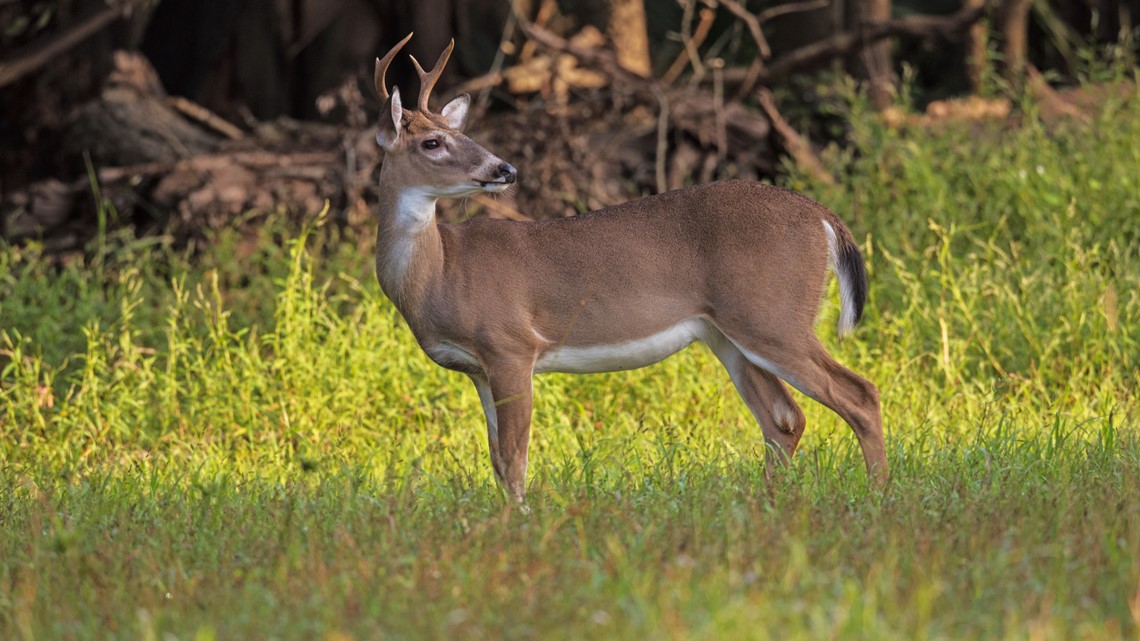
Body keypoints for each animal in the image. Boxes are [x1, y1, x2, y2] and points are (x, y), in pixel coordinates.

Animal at [369, 34, 884, 501]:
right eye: (433, 141)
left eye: (465, 136)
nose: (504, 170)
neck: (441, 273)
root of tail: (822, 216)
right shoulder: (478, 368)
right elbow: (497, 460)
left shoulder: (511, 345)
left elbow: (515, 460)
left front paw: (523, 523)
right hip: (727, 333)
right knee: (784, 419)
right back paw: (768, 502)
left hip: (772, 316)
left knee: (858, 394)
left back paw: (878, 496)